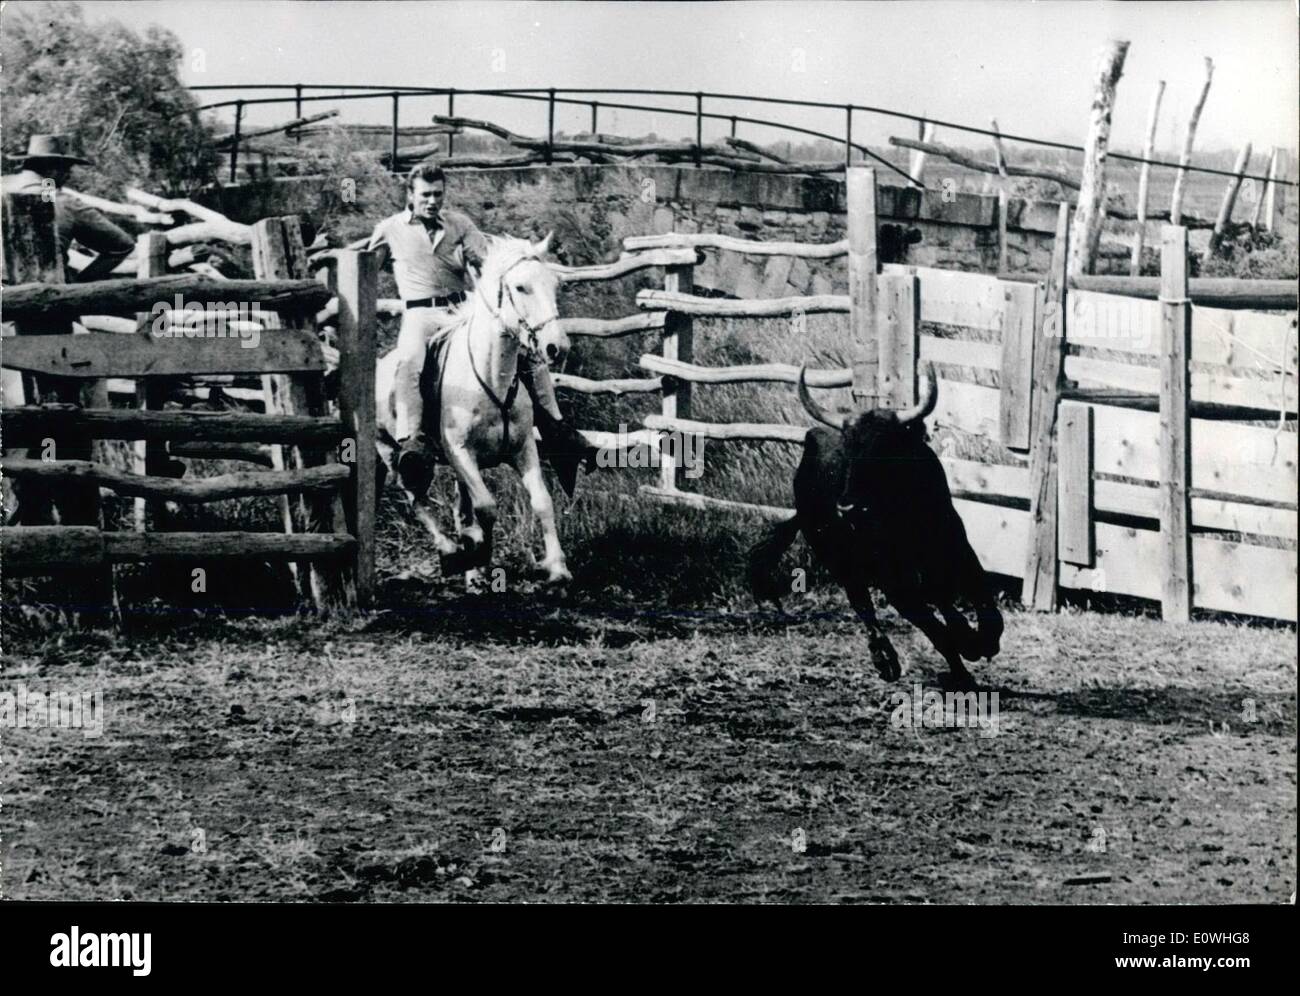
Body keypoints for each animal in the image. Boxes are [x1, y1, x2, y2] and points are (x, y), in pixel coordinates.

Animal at [379, 235, 574, 587]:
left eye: (555, 284)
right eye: (521, 287)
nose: (557, 347)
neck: (490, 377)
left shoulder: (523, 449)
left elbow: (541, 501)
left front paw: (557, 568)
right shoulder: (460, 453)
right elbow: (485, 507)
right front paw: (477, 552)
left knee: (455, 507)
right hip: (390, 452)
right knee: (416, 498)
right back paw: (451, 552)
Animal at [743, 364, 1003, 686]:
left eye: (884, 448)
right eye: (847, 452)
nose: (847, 507)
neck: (903, 518)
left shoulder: (959, 552)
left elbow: (987, 610)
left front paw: (981, 642)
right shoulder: (894, 585)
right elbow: (937, 632)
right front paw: (963, 666)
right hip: (838, 560)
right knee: (862, 604)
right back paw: (884, 658)